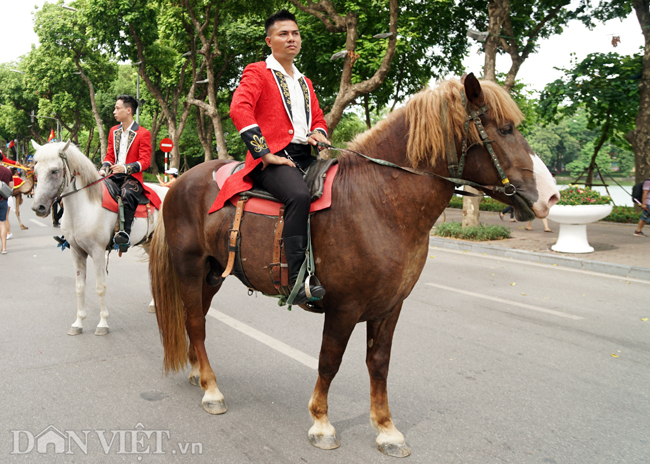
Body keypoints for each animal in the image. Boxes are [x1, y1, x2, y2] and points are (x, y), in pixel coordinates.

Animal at [31, 140, 167, 336]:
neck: (85, 206)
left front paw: (102, 323)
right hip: (149, 243)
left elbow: (100, 288)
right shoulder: (76, 252)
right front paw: (78, 322)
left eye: (54, 171)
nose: (38, 207)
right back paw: (153, 304)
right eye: (35, 171)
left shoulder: (97, 252)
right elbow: (79, 287)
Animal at [149, 75, 560, 456]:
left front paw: (387, 429)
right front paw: (321, 423)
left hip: (213, 272)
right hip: (189, 267)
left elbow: (378, 363)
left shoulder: (390, 306)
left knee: (198, 319)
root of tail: (180, 181)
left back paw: (198, 372)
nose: (552, 196)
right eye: (505, 129)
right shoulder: (344, 306)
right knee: (195, 321)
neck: (378, 200)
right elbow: (329, 361)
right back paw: (212, 390)